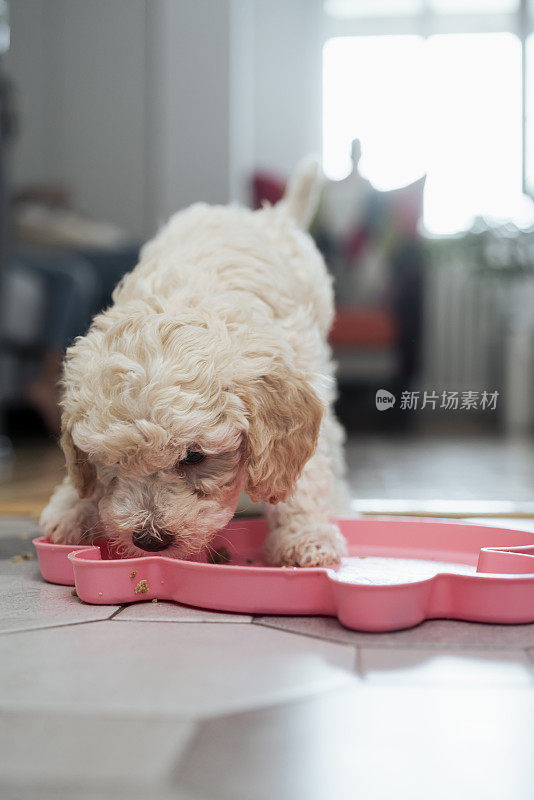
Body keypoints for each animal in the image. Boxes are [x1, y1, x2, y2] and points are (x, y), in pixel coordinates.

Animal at [39, 159, 350, 564]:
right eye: (115, 461)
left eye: (194, 457)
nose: (150, 540)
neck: (183, 303)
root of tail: (268, 215)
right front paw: (71, 506)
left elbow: (305, 476)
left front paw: (306, 535)